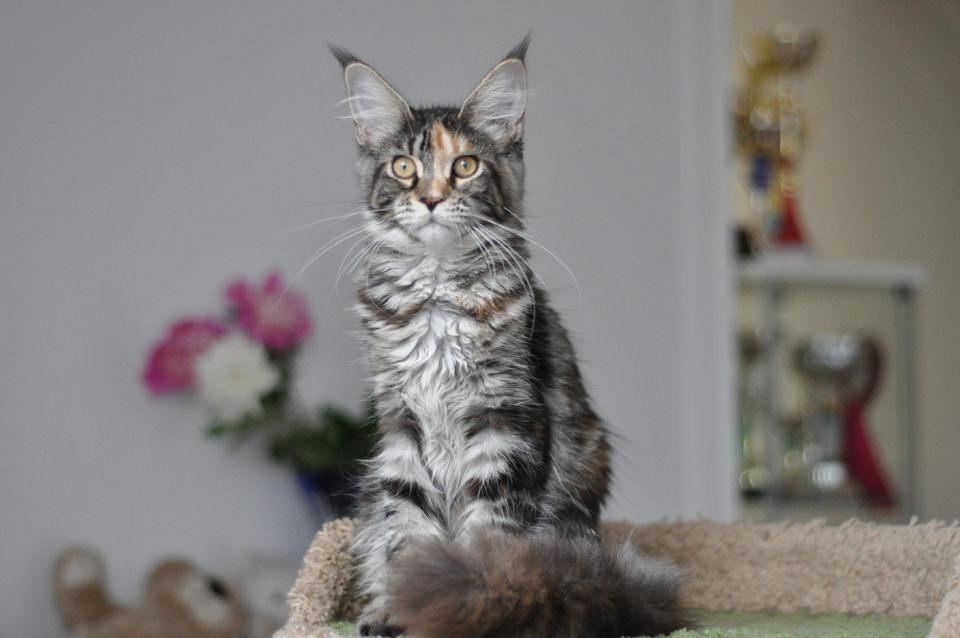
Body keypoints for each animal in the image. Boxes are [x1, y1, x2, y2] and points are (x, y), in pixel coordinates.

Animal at [334, 37, 688, 636]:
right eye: (404, 167)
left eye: (465, 165)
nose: (430, 199)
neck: (438, 297)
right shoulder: (400, 425)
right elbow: (409, 528)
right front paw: (408, 606)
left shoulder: (505, 417)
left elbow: (489, 530)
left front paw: (478, 605)